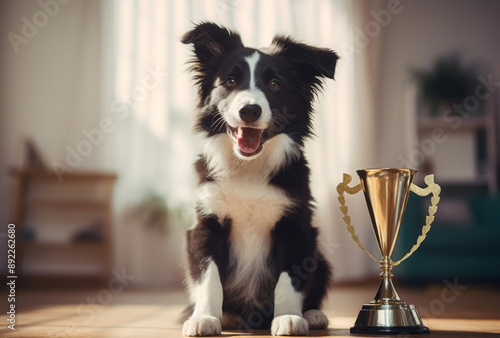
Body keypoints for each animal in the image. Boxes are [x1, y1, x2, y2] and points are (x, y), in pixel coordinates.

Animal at [182, 22, 338, 336]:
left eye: (275, 84)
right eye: (230, 81)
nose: (249, 111)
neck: (249, 167)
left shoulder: (296, 227)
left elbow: (288, 279)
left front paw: (289, 317)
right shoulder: (205, 224)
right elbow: (208, 276)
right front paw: (204, 318)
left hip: (321, 259)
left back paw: (314, 314)